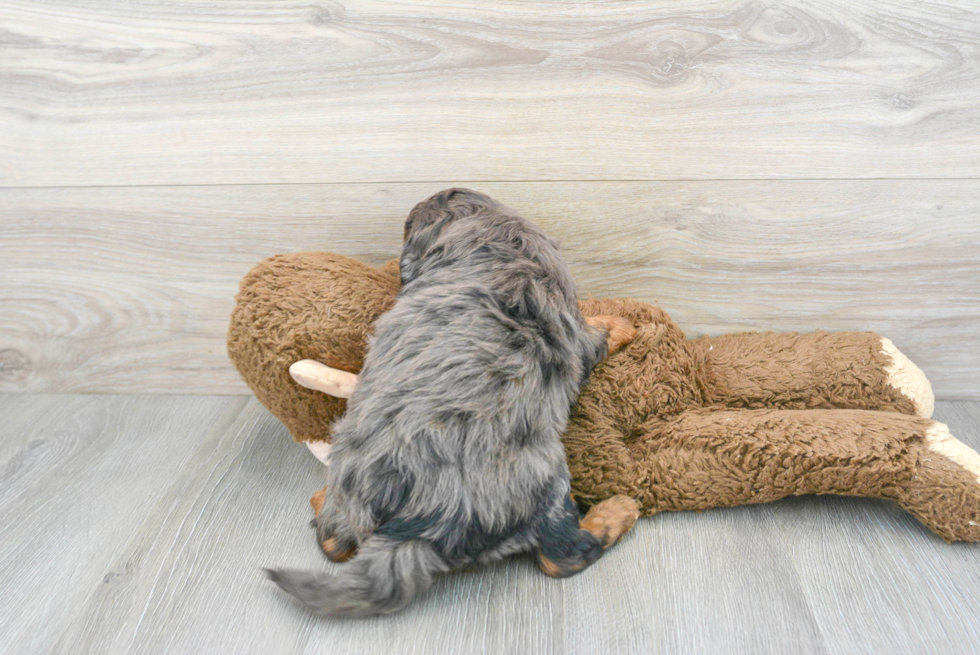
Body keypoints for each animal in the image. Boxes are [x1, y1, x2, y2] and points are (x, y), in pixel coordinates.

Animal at [264, 188, 640, 616]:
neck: (497, 244)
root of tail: (417, 527)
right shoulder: (575, 332)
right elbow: (598, 331)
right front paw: (623, 324)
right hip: (546, 485)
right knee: (561, 556)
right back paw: (617, 511)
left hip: (351, 484)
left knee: (333, 541)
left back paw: (320, 498)